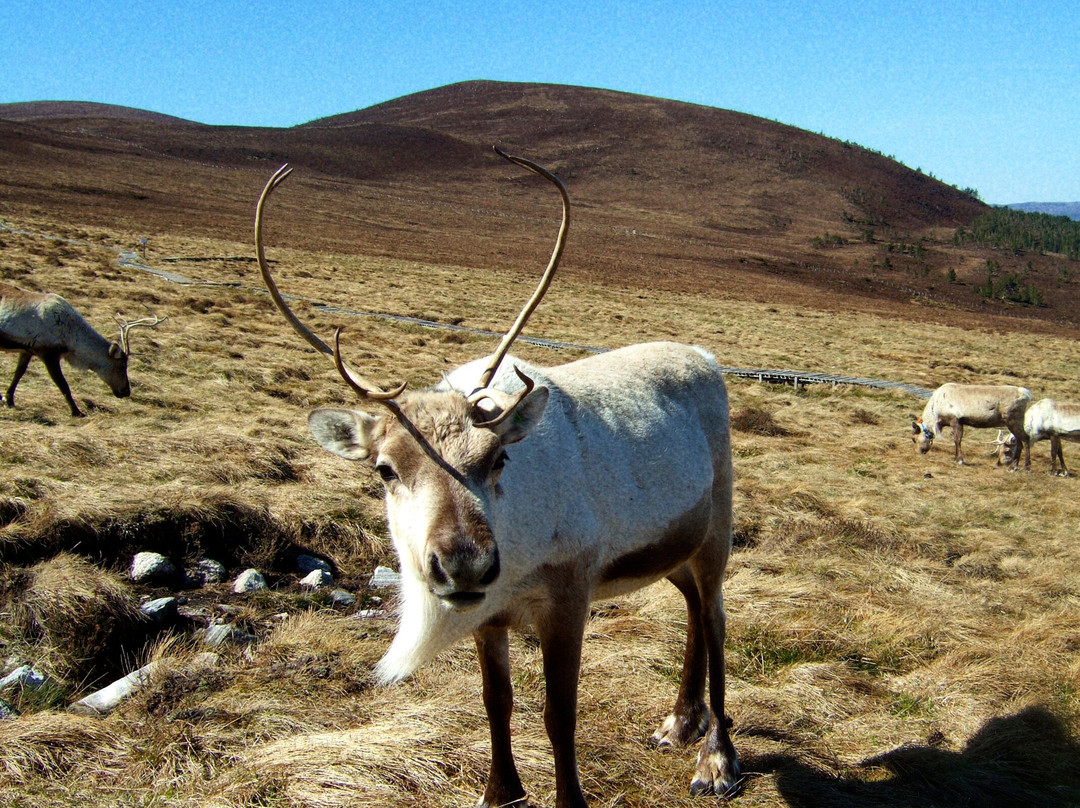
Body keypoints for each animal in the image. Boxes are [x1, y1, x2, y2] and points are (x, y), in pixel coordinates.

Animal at [0, 283, 164, 417]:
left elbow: (19, 373)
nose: (126, 391)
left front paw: (9, 400)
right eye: (122, 365)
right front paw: (77, 412)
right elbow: (63, 384)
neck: (72, 337)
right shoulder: (48, 353)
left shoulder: (27, 349)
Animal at [254, 149, 741, 807]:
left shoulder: (568, 595)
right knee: (690, 605)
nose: (464, 565)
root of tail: (706, 357)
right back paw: (679, 722)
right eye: (385, 469)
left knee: (714, 617)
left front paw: (568, 800)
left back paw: (715, 757)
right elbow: (496, 703)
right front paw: (500, 792)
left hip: (717, 531)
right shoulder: (489, 613)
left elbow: (558, 715)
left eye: (499, 459)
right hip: (671, 547)